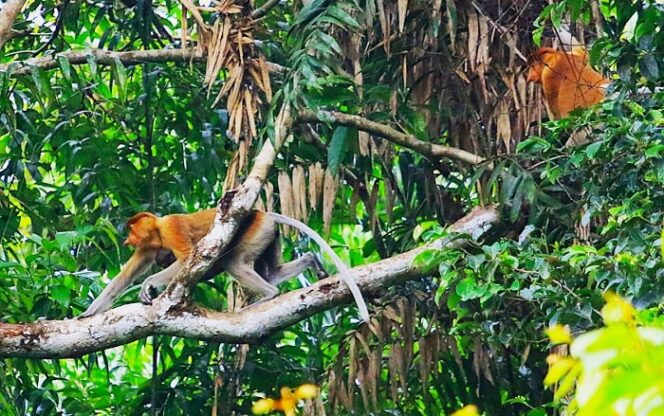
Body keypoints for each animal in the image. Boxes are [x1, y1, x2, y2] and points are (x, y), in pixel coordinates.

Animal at [80, 208, 370, 322]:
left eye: (132, 228)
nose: (127, 239)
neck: (158, 232)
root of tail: (262, 212)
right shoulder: (148, 247)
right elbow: (122, 279)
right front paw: (86, 315)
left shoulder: (170, 227)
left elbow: (186, 258)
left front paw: (148, 285)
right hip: (269, 235)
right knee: (272, 271)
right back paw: (311, 263)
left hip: (255, 230)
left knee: (234, 263)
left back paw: (267, 296)